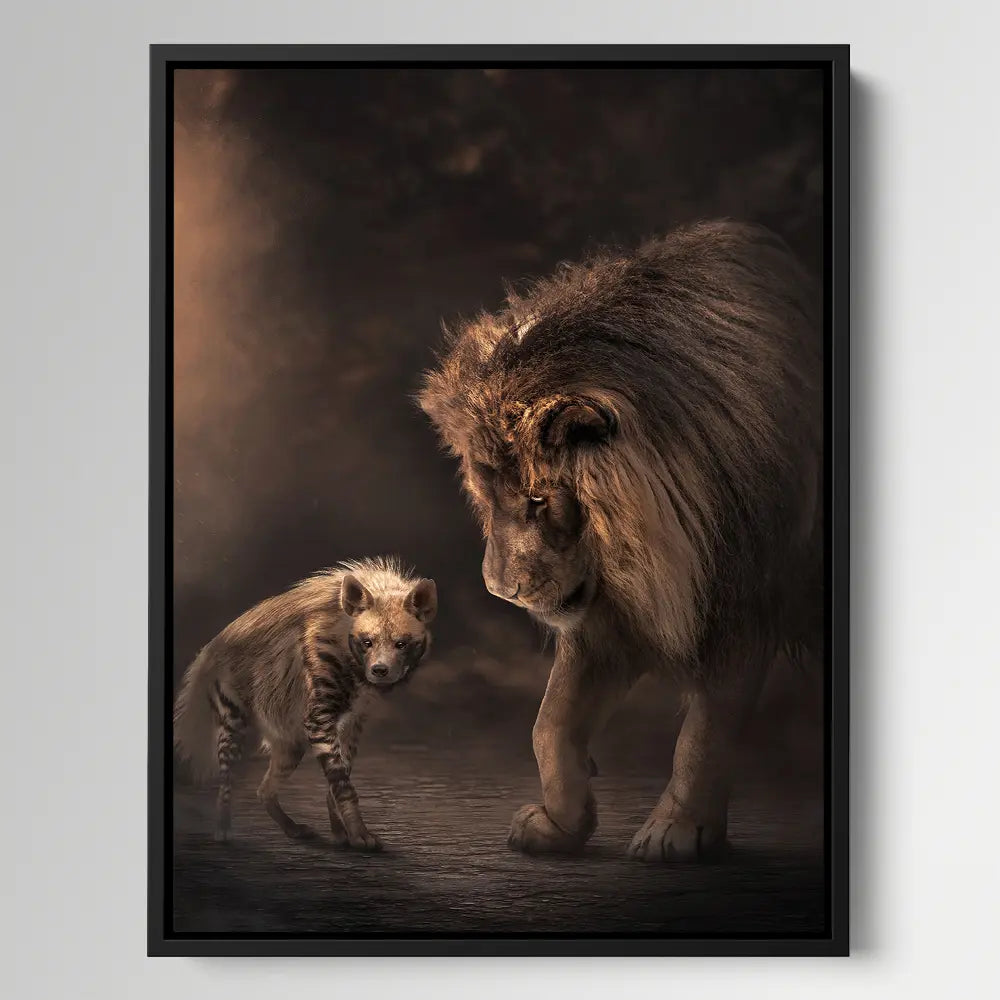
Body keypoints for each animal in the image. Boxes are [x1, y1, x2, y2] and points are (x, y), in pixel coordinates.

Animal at [418, 220, 822, 861]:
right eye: (487, 496)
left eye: (538, 500)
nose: (501, 592)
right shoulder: (610, 617)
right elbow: (550, 722)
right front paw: (559, 824)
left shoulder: (741, 596)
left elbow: (703, 732)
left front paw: (675, 831)